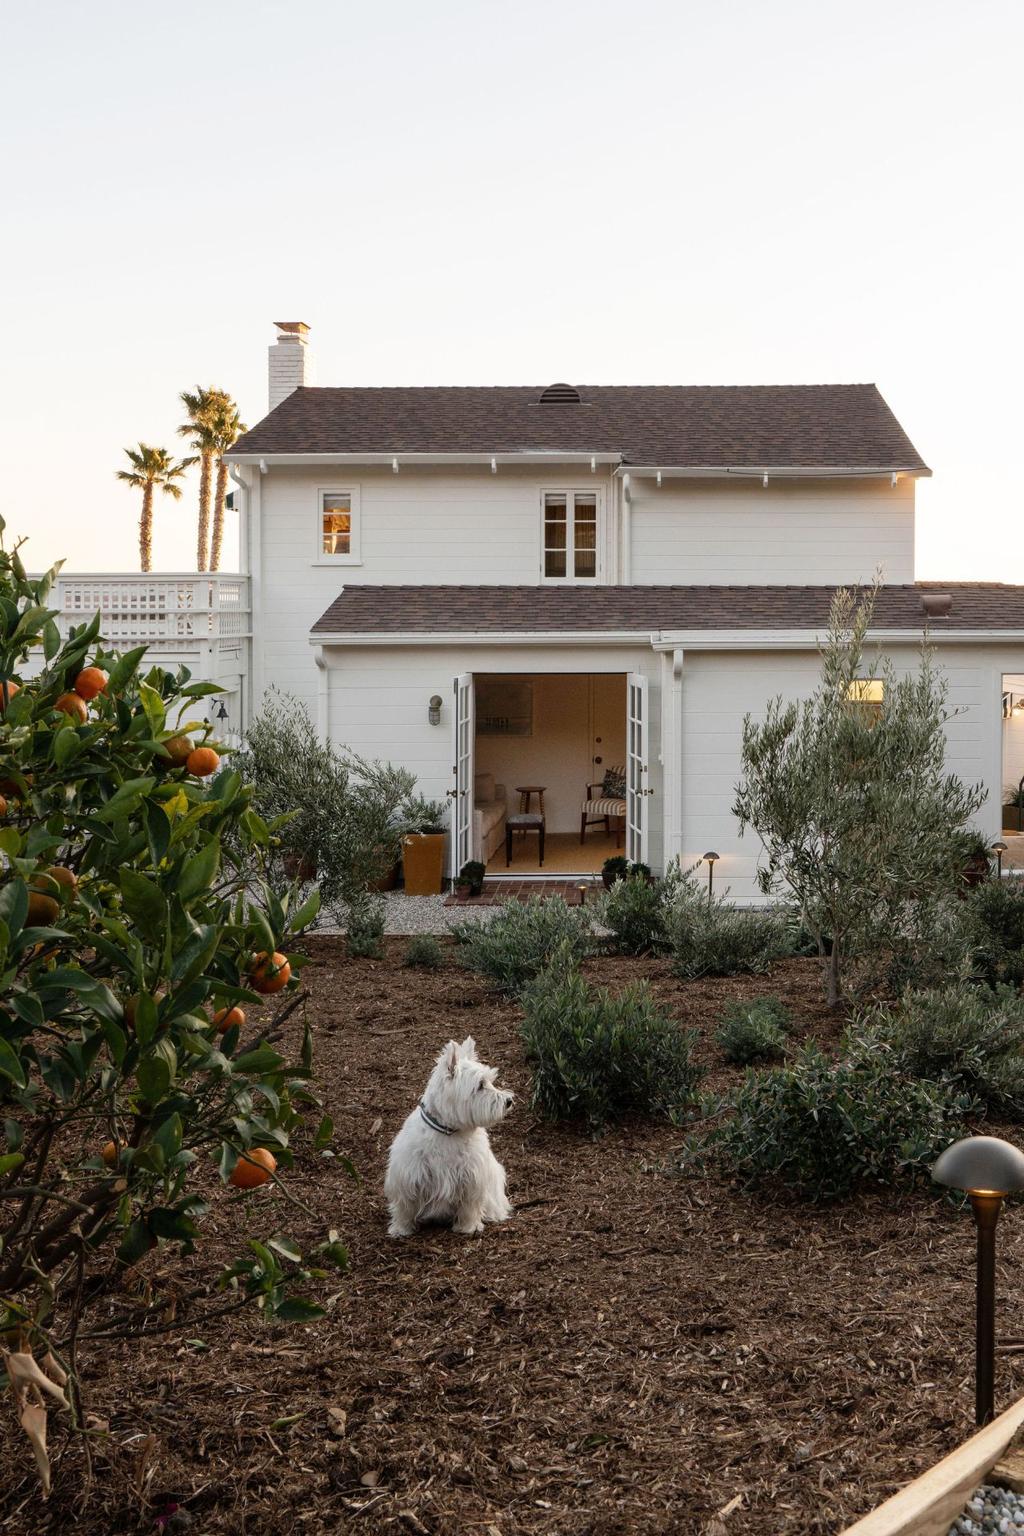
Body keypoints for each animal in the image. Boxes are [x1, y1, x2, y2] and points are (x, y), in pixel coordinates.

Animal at [383, 1032, 512, 1234]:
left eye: (490, 1082)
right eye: (480, 1085)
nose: (509, 1101)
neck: (448, 1131)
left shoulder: (472, 1177)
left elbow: (469, 1206)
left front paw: (468, 1227)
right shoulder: (408, 1175)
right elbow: (404, 1206)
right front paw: (401, 1229)